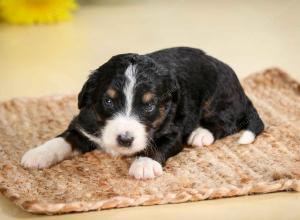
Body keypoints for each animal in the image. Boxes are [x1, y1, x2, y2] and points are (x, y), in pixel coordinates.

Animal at [21, 47, 264, 180]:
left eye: (148, 106)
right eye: (108, 101)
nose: (124, 139)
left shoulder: (173, 131)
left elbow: (159, 145)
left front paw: (144, 164)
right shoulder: (85, 123)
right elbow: (63, 139)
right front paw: (37, 154)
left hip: (218, 95)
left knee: (227, 121)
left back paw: (201, 134)